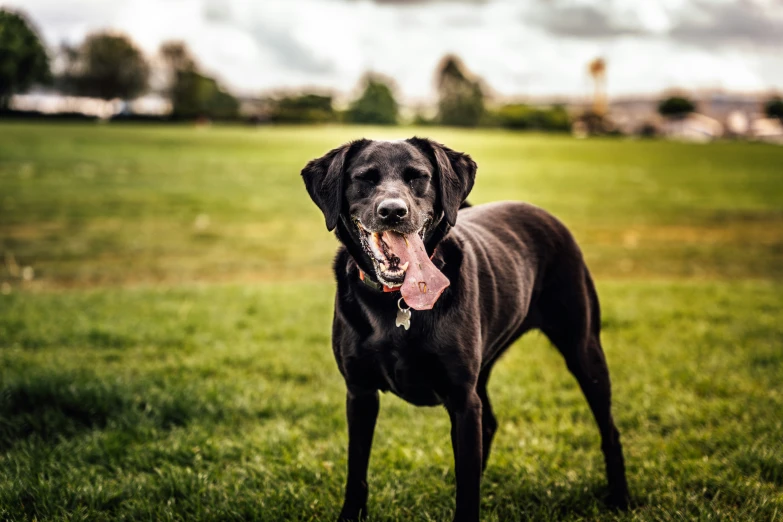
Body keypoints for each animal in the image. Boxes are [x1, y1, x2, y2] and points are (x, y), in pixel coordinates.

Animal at [300, 136, 632, 516]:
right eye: (365, 178)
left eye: (419, 177)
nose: (393, 212)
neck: (396, 303)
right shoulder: (360, 392)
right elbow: (357, 473)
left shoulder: (462, 399)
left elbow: (467, 485)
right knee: (489, 424)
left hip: (583, 348)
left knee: (609, 429)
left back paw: (621, 499)